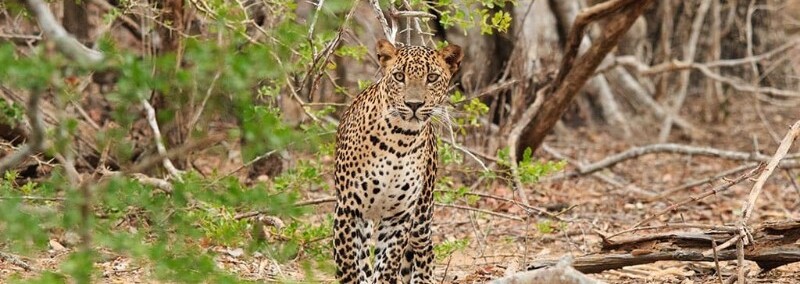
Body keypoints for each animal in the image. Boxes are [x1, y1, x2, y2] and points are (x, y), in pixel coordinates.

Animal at [332, 38, 462, 284]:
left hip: (422, 214)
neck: (399, 140)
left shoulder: (399, 216)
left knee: (424, 251)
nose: (414, 104)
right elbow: (348, 266)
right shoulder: (349, 208)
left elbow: (388, 265)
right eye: (399, 76)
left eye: (432, 77)